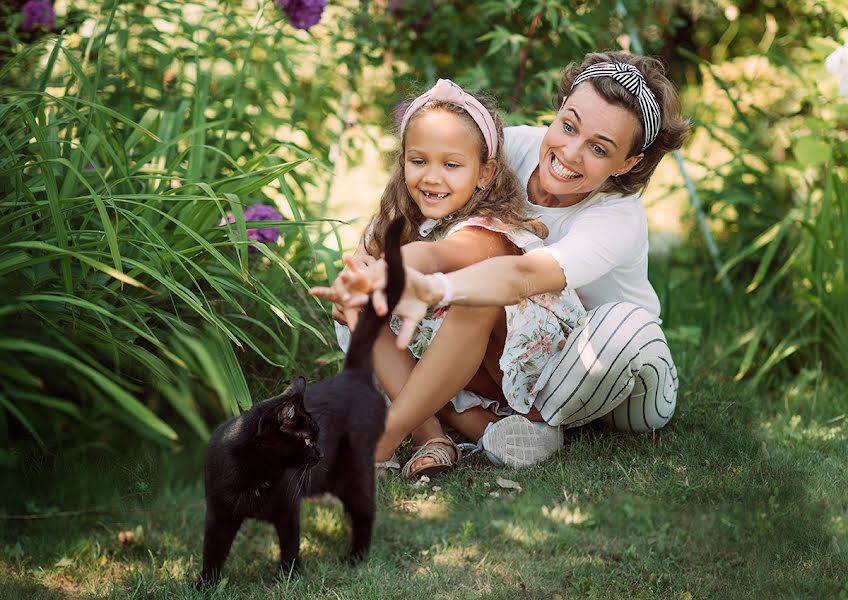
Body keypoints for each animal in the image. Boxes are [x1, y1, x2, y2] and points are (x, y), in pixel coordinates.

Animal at [202, 217, 408, 584]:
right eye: (308, 439)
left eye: (317, 436)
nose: (320, 453)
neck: (255, 475)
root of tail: (350, 374)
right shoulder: (219, 513)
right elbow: (213, 550)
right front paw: (203, 585)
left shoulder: (288, 508)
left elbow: (289, 543)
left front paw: (290, 577)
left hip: (356, 471)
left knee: (365, 512)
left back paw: (355, 558)